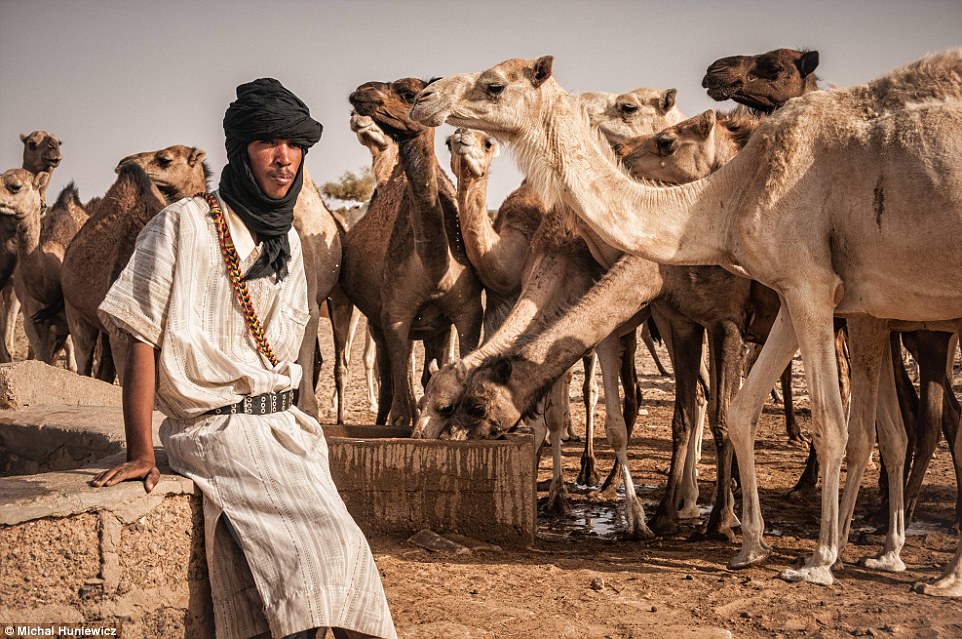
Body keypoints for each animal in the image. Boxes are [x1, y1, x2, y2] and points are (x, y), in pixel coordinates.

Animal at [342, 77, 484, 430]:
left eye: (408, 93)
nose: (360, 93)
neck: (435, 267)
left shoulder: (468, 312)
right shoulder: (394, 313)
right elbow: (400, 378)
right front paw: (403, 419)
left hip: (435, 329)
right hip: (376, 320)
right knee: (389, 367)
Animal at [414, 51, 962, 596]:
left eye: (494, 84)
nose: (425, 95)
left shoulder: (778, 298)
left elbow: (791, 417)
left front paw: (785, 548)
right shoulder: (728, 307)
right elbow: (721, 411)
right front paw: (730, 536)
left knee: (900, 417)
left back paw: (916, 563)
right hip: (881, 316)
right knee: (892, 425)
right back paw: (889, 549)